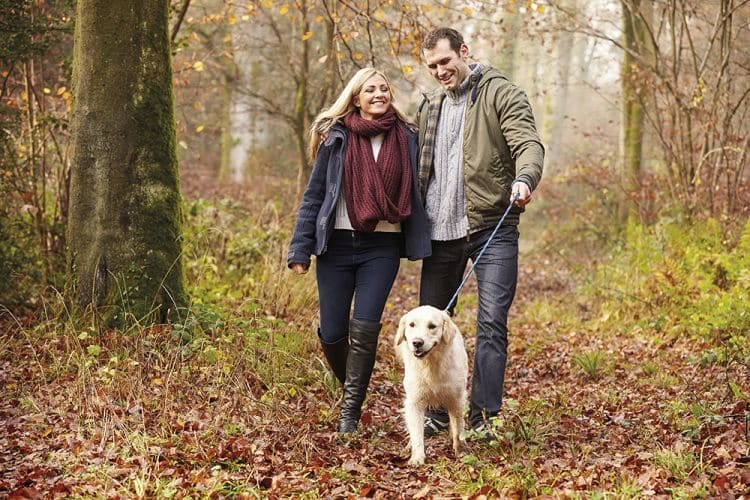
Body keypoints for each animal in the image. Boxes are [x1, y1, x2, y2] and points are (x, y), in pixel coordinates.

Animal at [396, 304, 468, 464]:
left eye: (432, 326)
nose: (417, 342)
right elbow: (417, 433)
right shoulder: (414, 402)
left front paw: (460, 451)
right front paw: (417, 457)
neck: (430, 364)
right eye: (412, 324)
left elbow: (458, 428)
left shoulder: (456, 399)